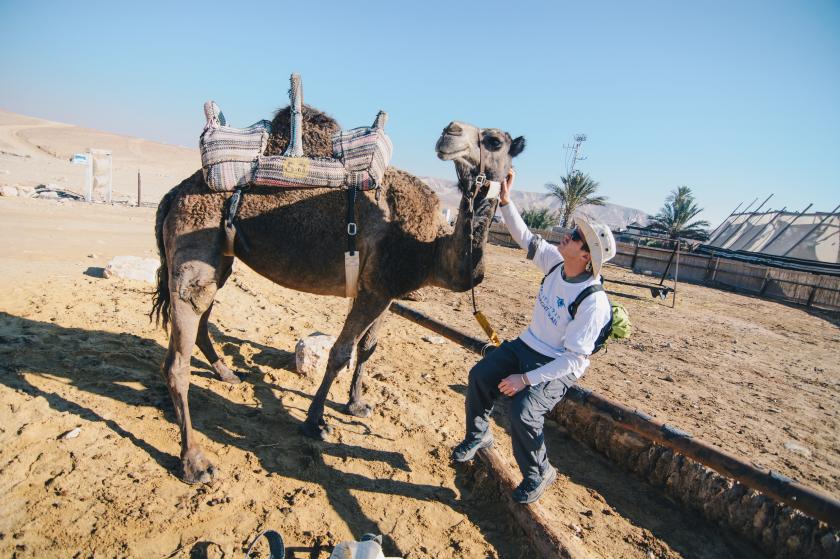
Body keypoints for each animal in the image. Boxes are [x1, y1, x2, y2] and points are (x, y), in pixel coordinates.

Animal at [148, 104, 520, 482]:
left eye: (495, 141)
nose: (450, 132)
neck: (430, 250)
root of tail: (175, 193)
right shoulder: (375, 290)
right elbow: (341, 353)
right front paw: (315, 422)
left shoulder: (383, 290)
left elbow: (368, 347)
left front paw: (356, 405)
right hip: (194, 245)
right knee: (177, 358)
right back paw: (195, 462)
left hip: (219, 258)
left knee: (203, 313)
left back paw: (227, 374)